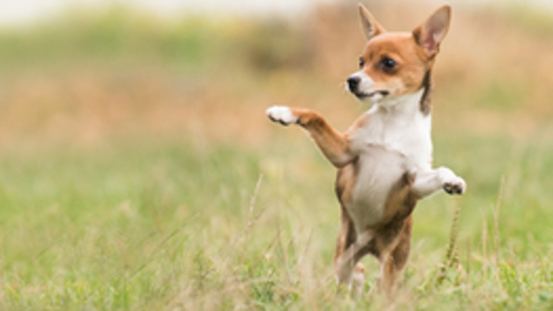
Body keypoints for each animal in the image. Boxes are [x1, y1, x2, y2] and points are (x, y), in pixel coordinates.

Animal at [266, 3, 464, 296]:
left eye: (388, 63)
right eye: (361, 61)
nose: (352, 80)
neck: (393, 121)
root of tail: (368, 247)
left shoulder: (414, 181)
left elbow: (439, 172)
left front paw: (452, 180)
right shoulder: (343, 152)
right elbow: (316, 116)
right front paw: (285, 112)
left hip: (391, 262)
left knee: (381, 283)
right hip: (344, 253)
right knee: (353, 272)